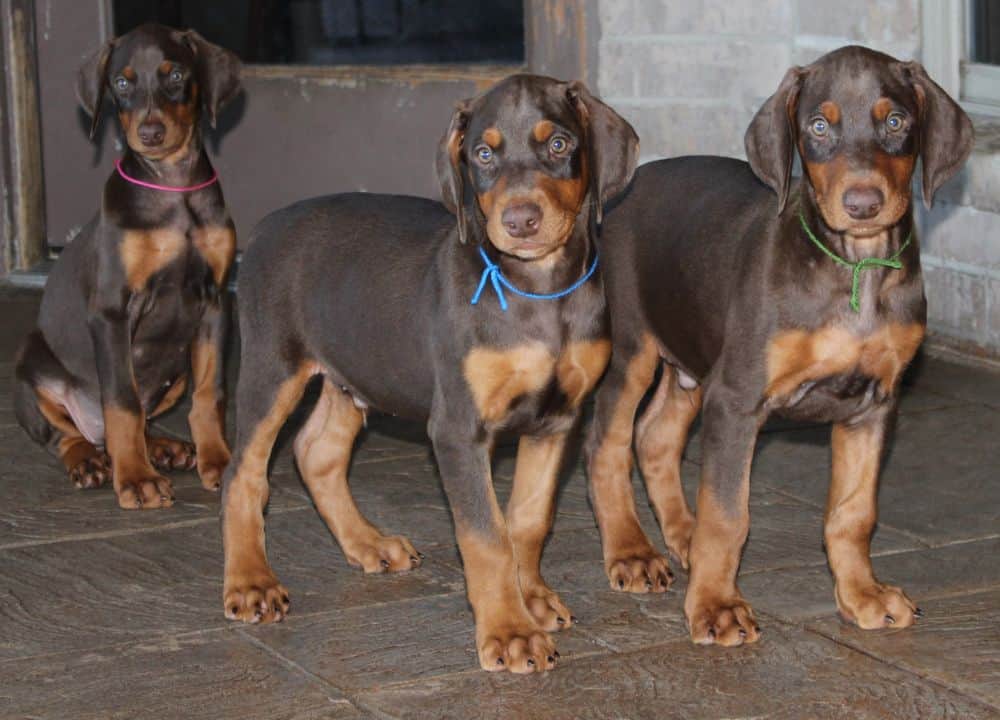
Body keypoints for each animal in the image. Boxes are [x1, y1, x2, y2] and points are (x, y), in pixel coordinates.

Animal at [13, 25, 242, 510]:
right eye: (121, 83)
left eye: (175, 75)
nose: (151, 132)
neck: (172, 188)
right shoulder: (113, 310)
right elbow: (121, 401)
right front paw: (136, 478)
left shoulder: (215, 301)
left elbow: (210, 392)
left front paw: (219, 461)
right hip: (30, 366)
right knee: (67, 434)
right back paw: (91, 461)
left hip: (176, 374)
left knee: (144, 416)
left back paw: (164, 447)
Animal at [222, 76, 636, 672]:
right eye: (482, 154)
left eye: (558, 144)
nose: (520, 221)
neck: (537, 290)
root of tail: (260, 229)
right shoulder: (458, 430)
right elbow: (486, 534)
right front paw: (509, 631)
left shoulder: (557, 419)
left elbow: (528, 520)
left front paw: (531, 598)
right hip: (272, 365)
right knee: (244, 472)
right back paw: (251, 582)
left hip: (354, 368)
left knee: (317, 451)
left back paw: (367, 544)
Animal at [584, 47, 968, 644]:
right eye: (818, 127)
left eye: (896, 121)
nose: (863, 203)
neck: (854, 266)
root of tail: (617, 193)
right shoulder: (737, 398)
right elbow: (728, 514)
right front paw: (716, 605)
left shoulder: (875, 404)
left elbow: (854, 512)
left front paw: (862, 596)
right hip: (632, 351)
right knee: (607, 442)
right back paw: (631, 552)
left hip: (693, 358)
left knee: (655, 436)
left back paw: (683, 536)